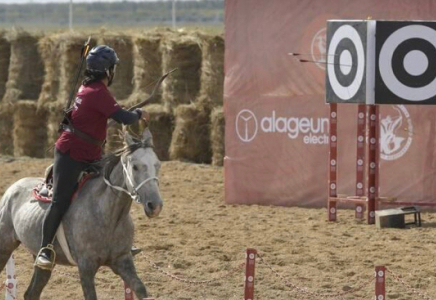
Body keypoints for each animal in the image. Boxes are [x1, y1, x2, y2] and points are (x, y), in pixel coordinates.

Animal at [0, 129, 162, 300]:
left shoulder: (122, 261)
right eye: (135, 167)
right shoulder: (86, 267)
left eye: (157, 164)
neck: (107, 215)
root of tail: (12, 189)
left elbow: (140, 289)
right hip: (5, 246)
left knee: (32, 292)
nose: (155, 205)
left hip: (41, 260)